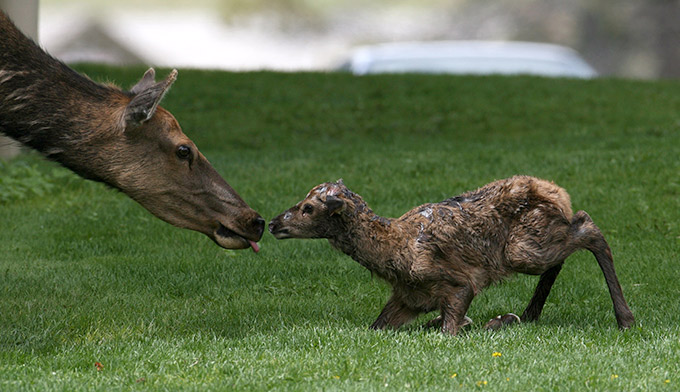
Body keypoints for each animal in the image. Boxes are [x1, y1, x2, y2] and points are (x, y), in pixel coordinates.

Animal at [268, 177, 636, 334]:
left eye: (308, 207)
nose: (272, 223)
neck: (395, 253)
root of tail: (558, 193)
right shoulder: (407, 298)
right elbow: (377, 327)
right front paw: (496, 319)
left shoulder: (460, 283)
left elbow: (450, 330)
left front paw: (494, 321)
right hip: (536, 240)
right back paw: (529, 312)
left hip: (521, 251)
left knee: (589, 226)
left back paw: (625, 319)